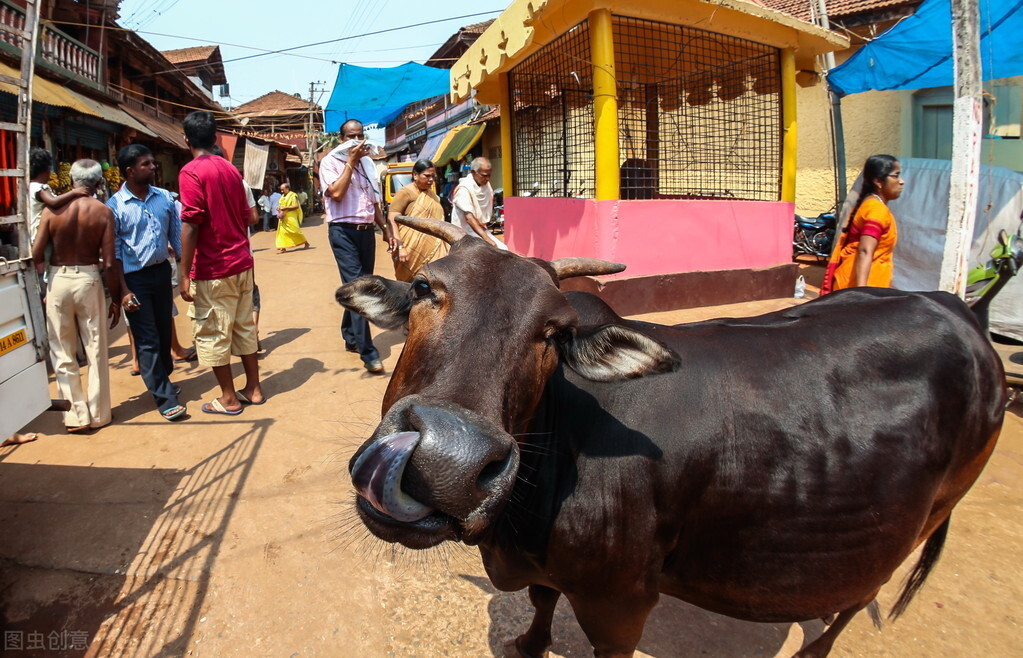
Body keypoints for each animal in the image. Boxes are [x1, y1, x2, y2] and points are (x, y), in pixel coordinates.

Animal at [337, 217, 1006, 658]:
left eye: (554, 332)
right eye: (424, 288)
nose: (448, 459)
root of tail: (959, 310)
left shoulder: (621, 606)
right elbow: (542, 601)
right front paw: (529, 643)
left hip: (927, 517)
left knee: (857, 597)